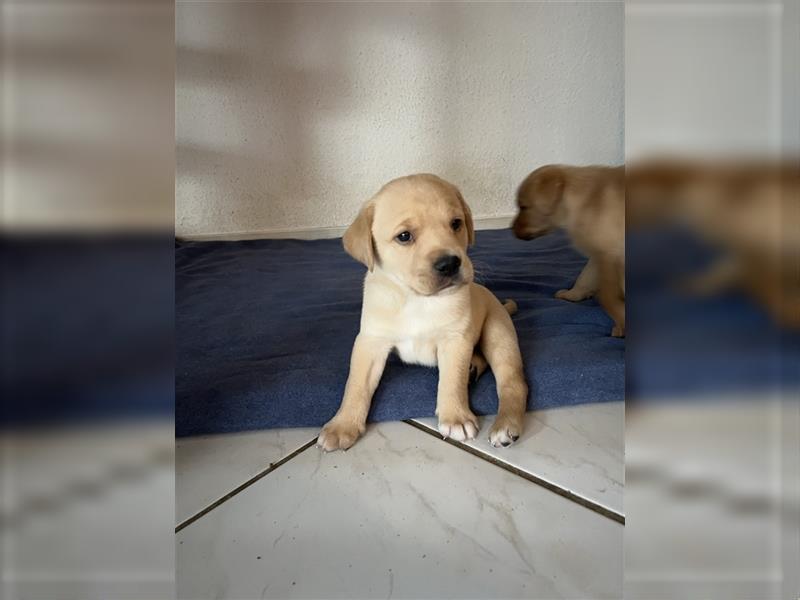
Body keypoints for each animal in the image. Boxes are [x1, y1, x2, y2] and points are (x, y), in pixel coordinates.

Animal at [316, 173, 528, 450]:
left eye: (456, 223)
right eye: (404, 236)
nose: (449, 264)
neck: (417, 299)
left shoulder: (455, 340)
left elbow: (451, 380)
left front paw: (456, 417)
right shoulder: (370, 341)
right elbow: (356, 385)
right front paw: (342, 426)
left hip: (498, 333)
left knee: (513, 382)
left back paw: (505, 426)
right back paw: (473, 368)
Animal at [512, 164, 624, 338]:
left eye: (523, 207)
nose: (511, 229)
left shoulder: (611, 255)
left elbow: (608, 297)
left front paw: (622, 321)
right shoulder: (599, 256)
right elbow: (585, 278)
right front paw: (572, 295)